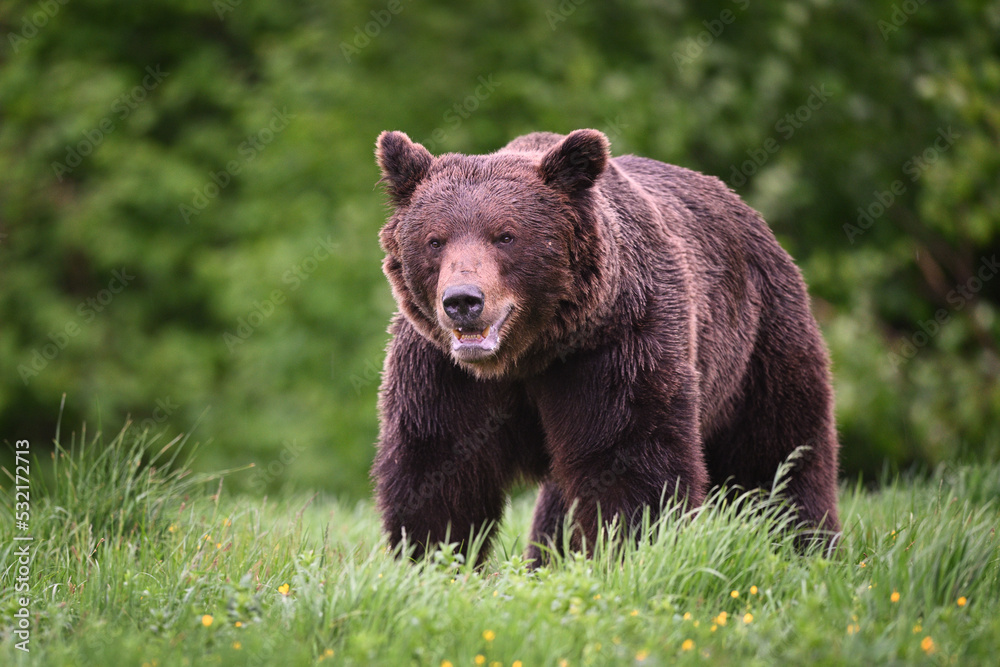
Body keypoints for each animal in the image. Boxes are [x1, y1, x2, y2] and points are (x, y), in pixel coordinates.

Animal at [372, 128, 840, 565]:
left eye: (505, 236)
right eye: (436, 240)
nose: (463, 301)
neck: (525, 356)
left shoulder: (614, 347)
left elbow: (628, 456)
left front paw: (630, 550)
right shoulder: (444, 373)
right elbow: (438, 467)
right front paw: (431, 558)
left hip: (760, 343)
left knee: (780, 457)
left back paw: (808, 545)